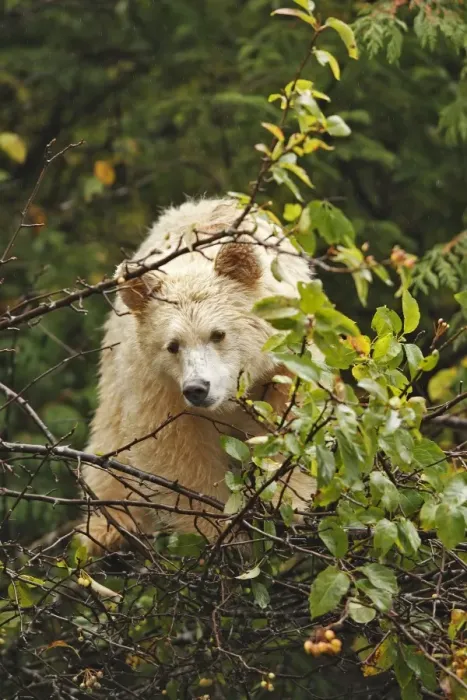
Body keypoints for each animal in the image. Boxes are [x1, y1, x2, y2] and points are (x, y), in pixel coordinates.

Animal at [79, 198, 316, 554]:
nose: (197, 388)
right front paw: (222, 530)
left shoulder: (287, 357)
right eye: (172, 346)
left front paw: (291, 502)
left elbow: (295, 417)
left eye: (218, 334)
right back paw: (109, 529)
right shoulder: (157, 385)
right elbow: (177, 452)